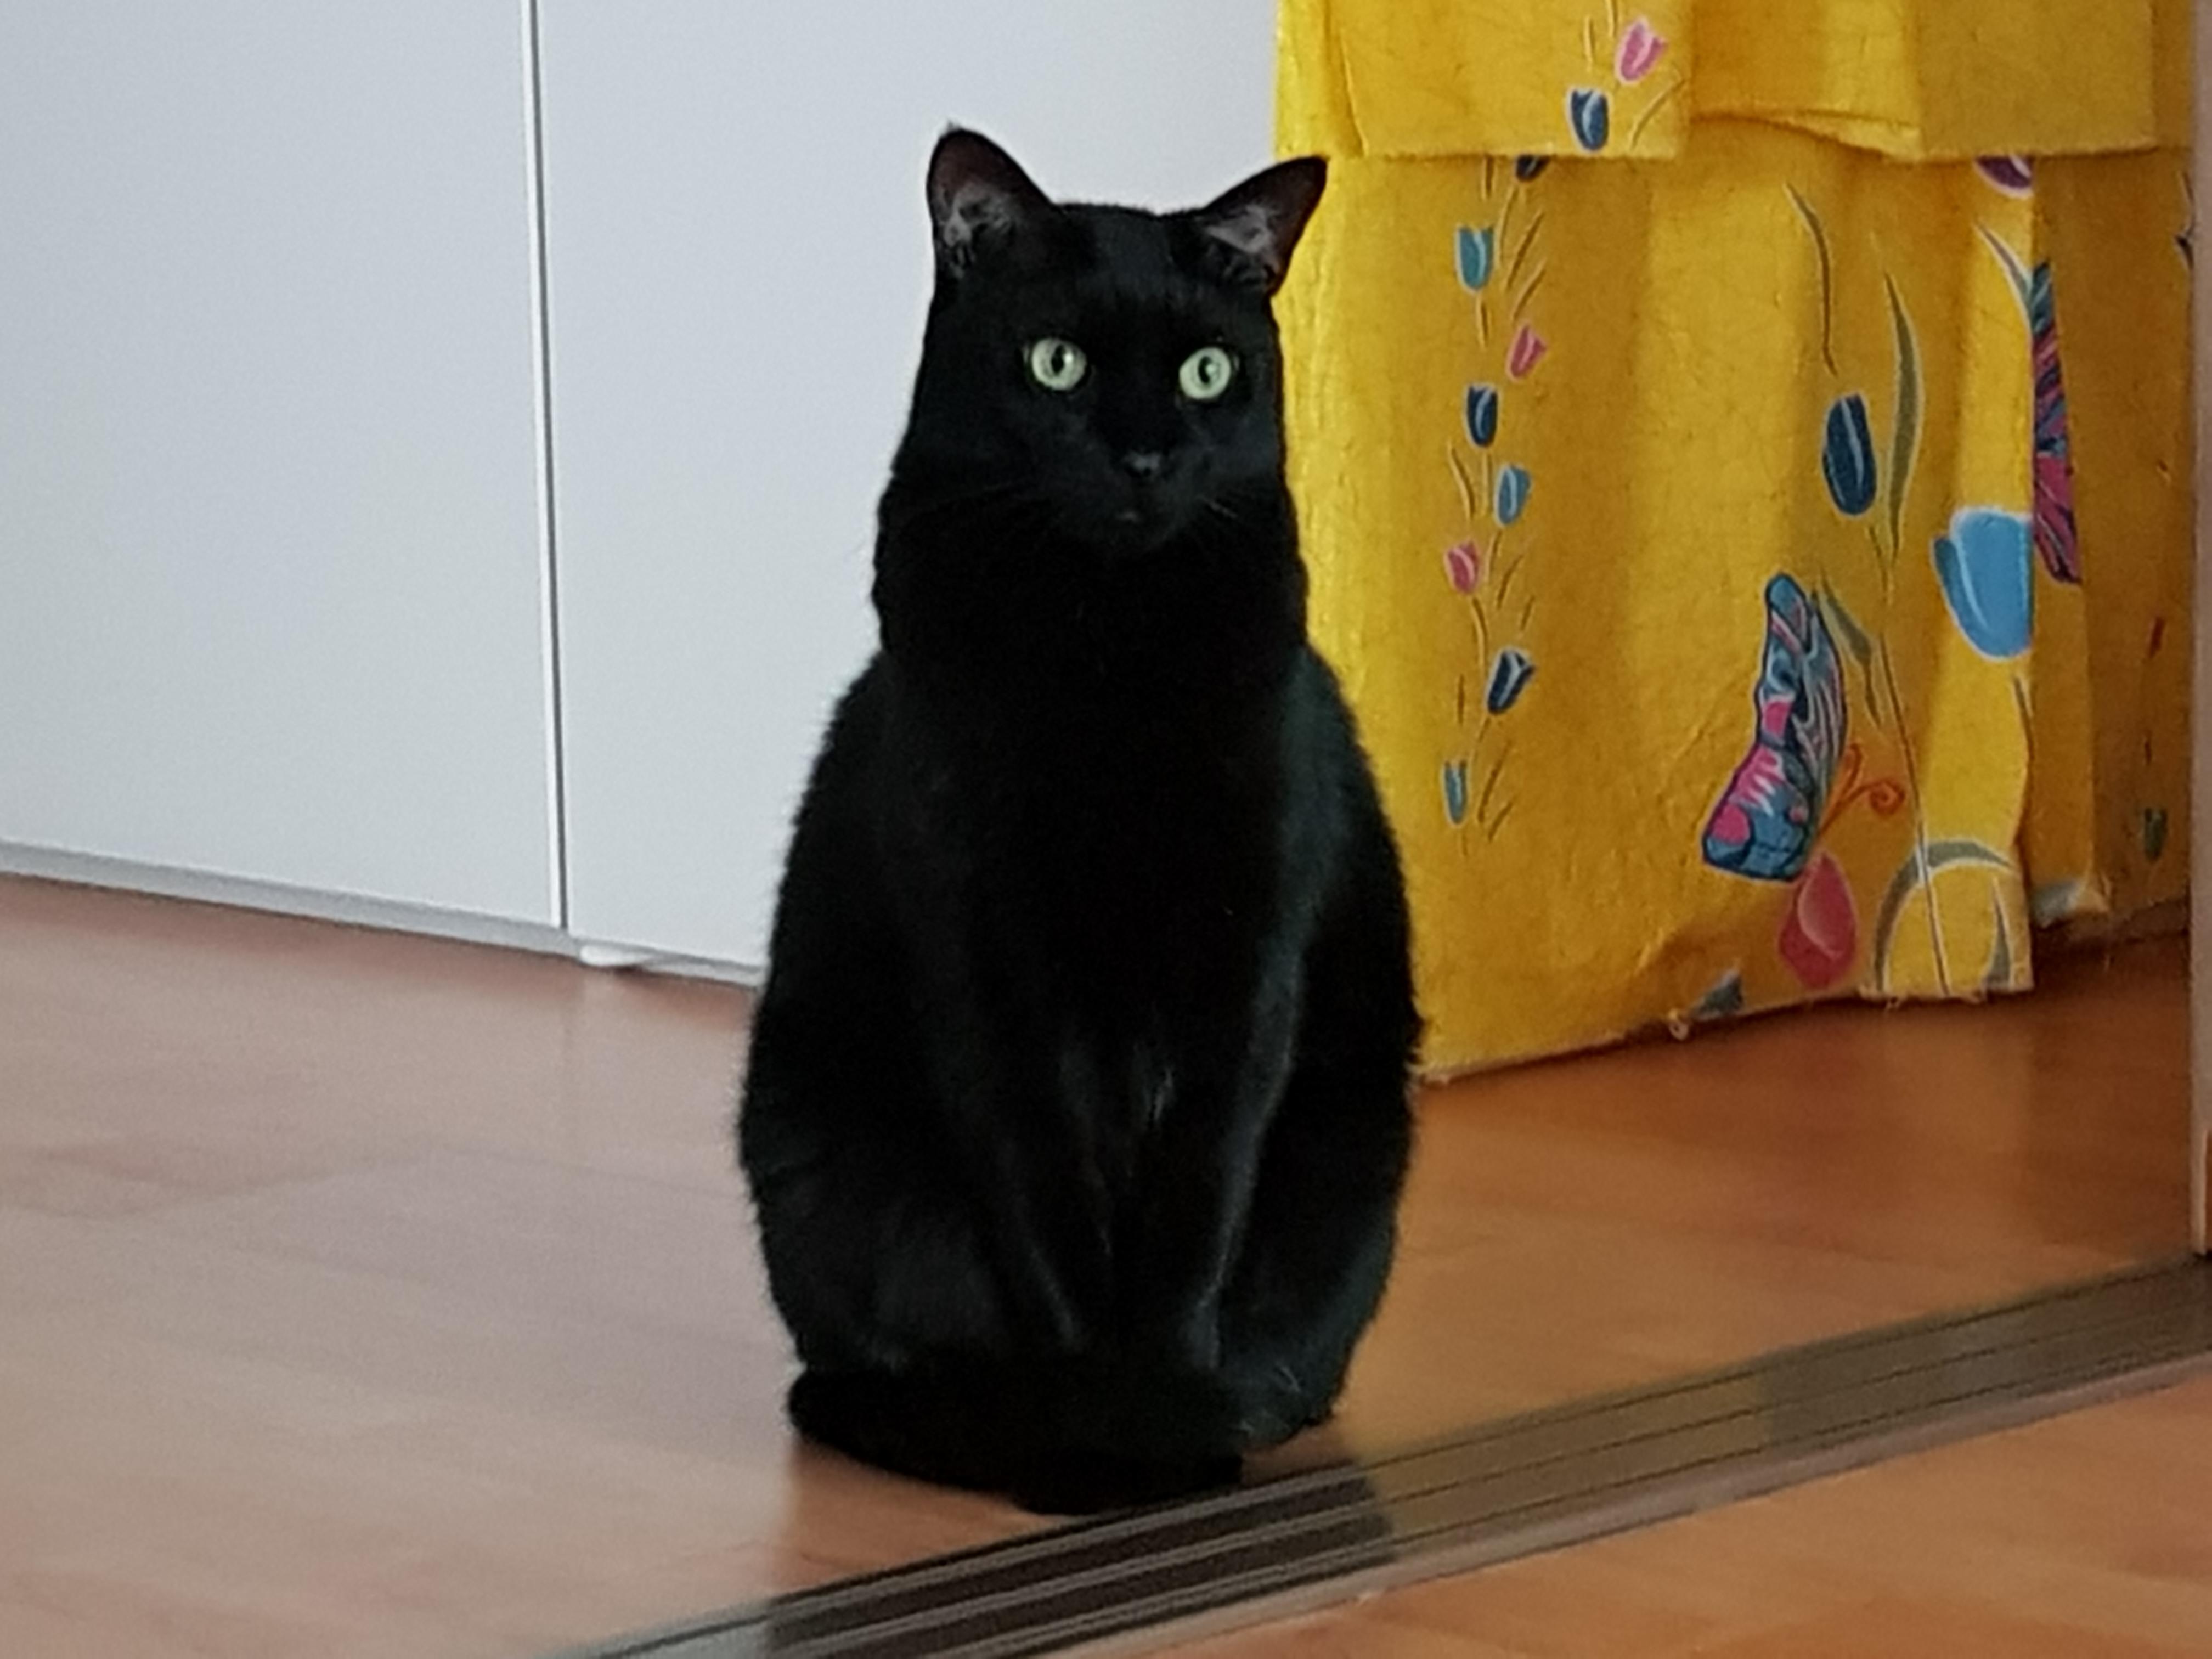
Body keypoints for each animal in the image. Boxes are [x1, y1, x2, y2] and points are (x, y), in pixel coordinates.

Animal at [736, 128, 1418, 1516]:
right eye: (1058, 363)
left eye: (1209, 371)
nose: (1146, 457)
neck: (1105, 654)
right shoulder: (987, 976)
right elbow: (1048, 1220)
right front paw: (1103, 1432)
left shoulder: (1244, 968)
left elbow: (1194, 1212)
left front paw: (1164, 1415)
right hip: (814, 1162)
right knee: (849, 1372)